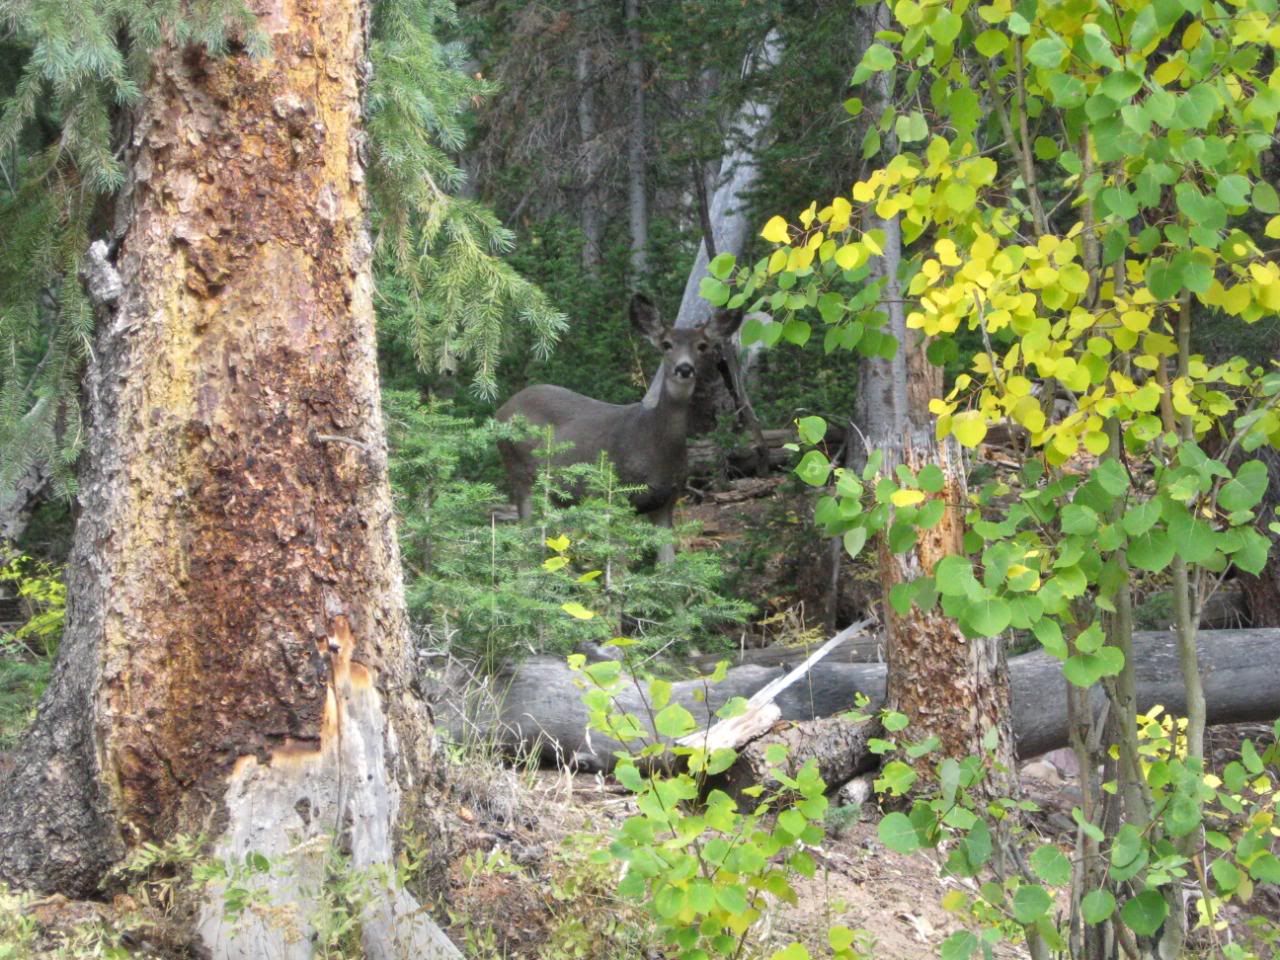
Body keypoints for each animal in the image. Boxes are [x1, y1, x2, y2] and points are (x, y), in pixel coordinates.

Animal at [496, 296, 747, 560]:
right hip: (520, 472)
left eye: (702, 345)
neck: (655, 442)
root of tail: (501, 409)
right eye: (666, 344)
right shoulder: (618, 494)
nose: (685, 368)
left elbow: (668, 565)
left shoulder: (667, 500)